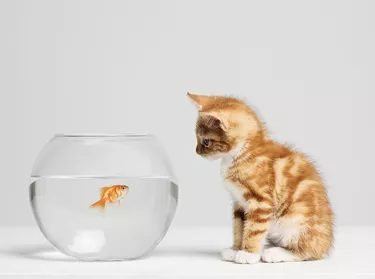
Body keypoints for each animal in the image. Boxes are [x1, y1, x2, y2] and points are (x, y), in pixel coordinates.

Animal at [188, 93, 334, 264]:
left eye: (206, 141)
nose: (197, 151)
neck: (243, 152)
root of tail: (326, 243)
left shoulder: (261, 201)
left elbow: (254, 229)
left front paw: (248, 253)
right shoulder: (239, 202)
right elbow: (239, 226)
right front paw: (235, 249)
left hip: (296, 220)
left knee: (308, 251)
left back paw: (275, 253)